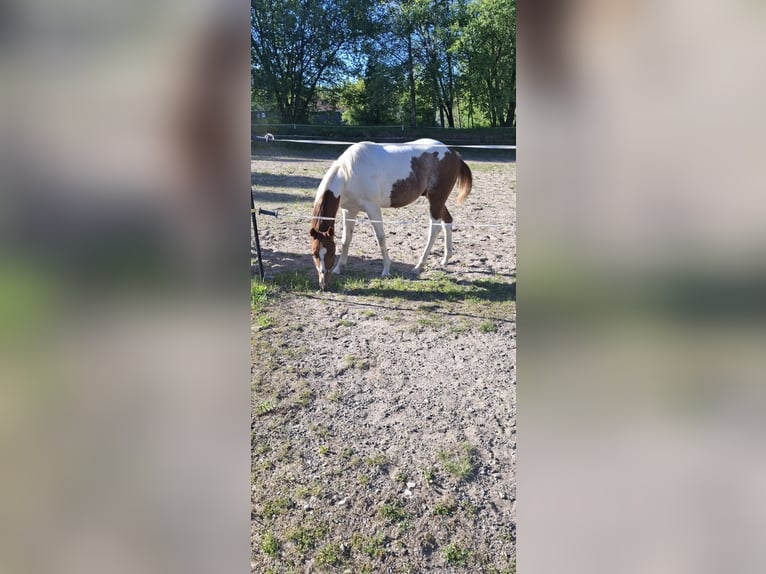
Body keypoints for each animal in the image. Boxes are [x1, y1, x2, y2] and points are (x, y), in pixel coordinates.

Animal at [309, 138, 472, 290]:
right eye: (315, 253)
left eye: (331, 253)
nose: (323, 283)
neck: (348, 174)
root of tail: (452, 153)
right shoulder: (349, 210)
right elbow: (346, 239)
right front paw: (339, 268)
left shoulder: (373, 208)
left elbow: (380, 238)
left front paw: (386, 270)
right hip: (437, 200)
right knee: (448, 221)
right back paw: (445, 259)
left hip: (436, 200)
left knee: (435, 229)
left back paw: (419, 266)